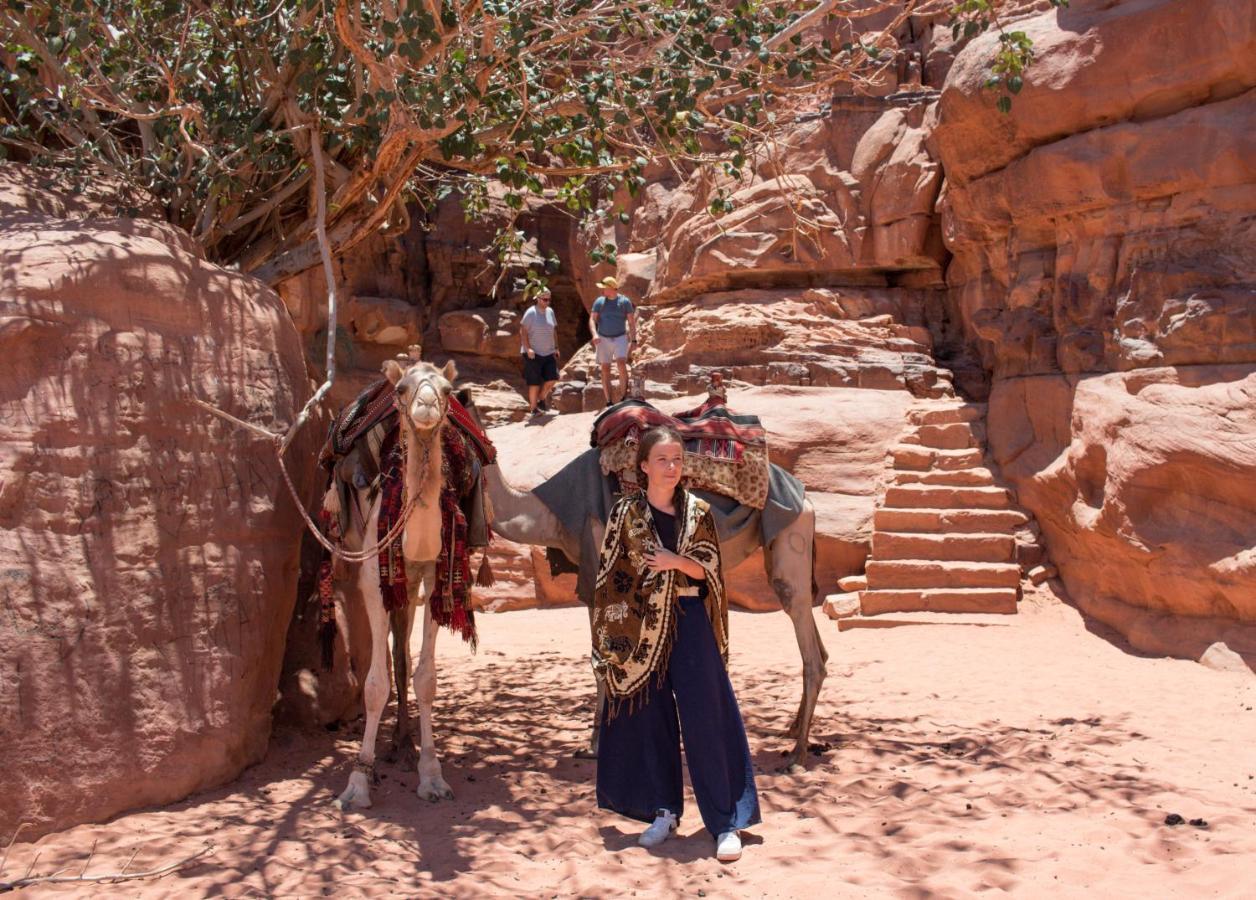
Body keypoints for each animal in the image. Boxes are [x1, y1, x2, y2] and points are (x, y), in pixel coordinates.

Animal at [326, 356, 459, 808]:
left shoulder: (433, 577)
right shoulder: (374, 579)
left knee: (402, 654)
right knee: (389, 654)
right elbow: (374, 683)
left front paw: (432, 775)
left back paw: (403, 743)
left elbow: (426, 679)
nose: (426, 406)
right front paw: (357, 782)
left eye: (448, 390)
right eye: (402, 389)